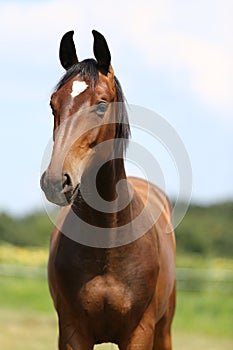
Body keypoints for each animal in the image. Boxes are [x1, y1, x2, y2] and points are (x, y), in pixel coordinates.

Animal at [40, 30, 175, 350]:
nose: (55, 181)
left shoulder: (140, 333)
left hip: (164, 330)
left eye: (101, 104)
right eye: (53, 104)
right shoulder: (73, 332)